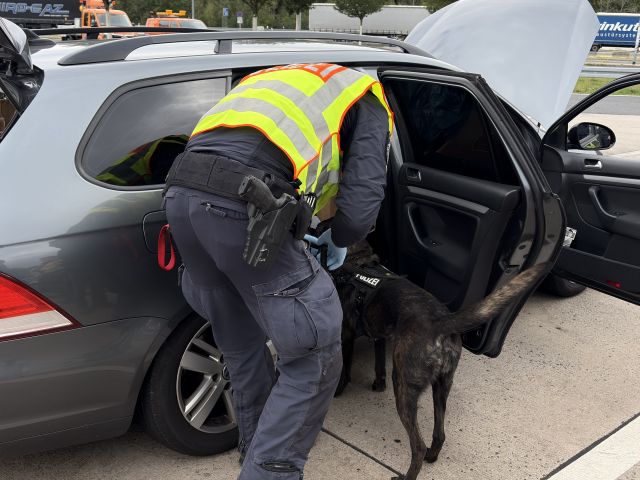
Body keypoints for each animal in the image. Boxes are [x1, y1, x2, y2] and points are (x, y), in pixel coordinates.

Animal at [330, 241, 547, 480]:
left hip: (404, 385)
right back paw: (432, 456)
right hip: (442, 386)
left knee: (417, 445)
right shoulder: (379, 334)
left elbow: (344, 371)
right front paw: (378, 383)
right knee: (439, 434)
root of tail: (442, 322)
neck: (358, 261)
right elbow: (378, 363)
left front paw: (337, 391)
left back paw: (408, 474)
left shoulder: (345, 335)